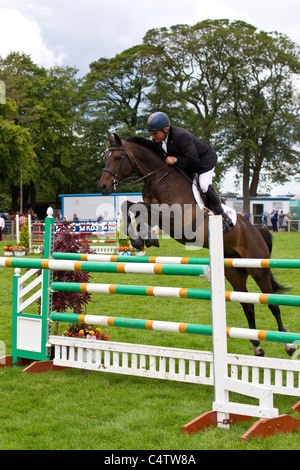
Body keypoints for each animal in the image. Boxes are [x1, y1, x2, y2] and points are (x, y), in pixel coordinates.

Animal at [99, 131, 296, 356]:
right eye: (105, 158)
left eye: (116, 158)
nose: (103, 186)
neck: (158, 178)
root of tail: (257, 231)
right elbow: (131, 205)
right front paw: (140, 239)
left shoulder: (177, 220)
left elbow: (142, 208)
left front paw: (142, 239)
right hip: (234, 271)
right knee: (247, 305)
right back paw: (257, 346)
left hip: (258, 268)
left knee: (272, 303)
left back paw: (288, 345)